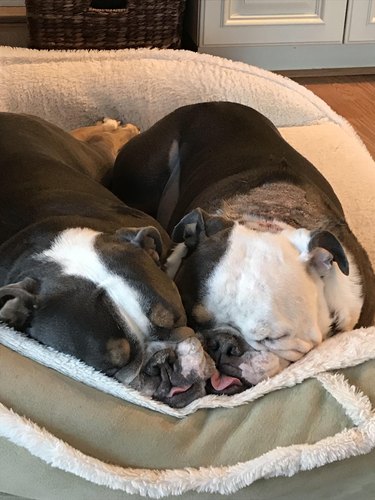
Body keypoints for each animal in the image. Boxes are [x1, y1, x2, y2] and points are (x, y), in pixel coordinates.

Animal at [0, 113, 214, 406]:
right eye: (110, 368)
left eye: (176, 318)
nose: (162, 362)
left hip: (88, 157)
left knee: (103, 142)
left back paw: (117, 127)